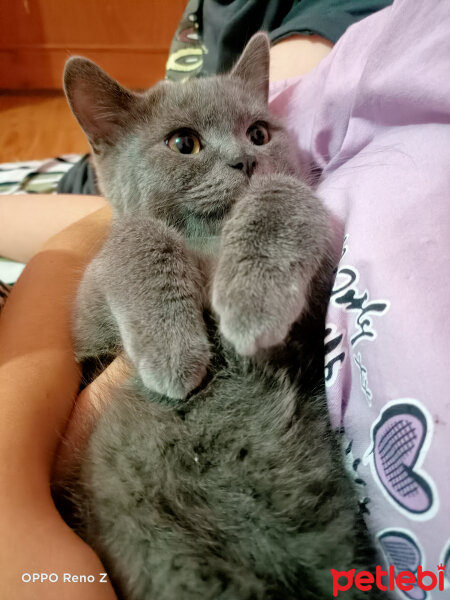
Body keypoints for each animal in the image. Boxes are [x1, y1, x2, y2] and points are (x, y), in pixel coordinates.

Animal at [61, 35, 382, 600]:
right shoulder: (88, 323)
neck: (212, 245)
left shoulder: (310, 315)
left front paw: (250, 303)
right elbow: (137, 235)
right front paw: (173, 355)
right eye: (182, 143)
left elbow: (286, 194)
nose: (244, 161)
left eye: (258, 133)